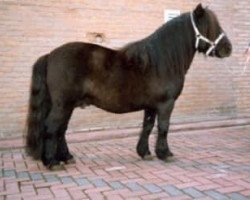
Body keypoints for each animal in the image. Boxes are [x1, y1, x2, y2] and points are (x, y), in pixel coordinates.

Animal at [26, 3, 231, 169]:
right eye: (211, 26)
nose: (228, 48)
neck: (162, 61)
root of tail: (50, 55)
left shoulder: (151, 106)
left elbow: (147, 126)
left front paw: (145, 152)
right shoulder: (166, 104)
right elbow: (163, 127)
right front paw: (165, 153)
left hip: (67, 106)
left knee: (61, 130)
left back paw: (66, 157)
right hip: (63, 105)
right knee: (51, 127)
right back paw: (52, 162)